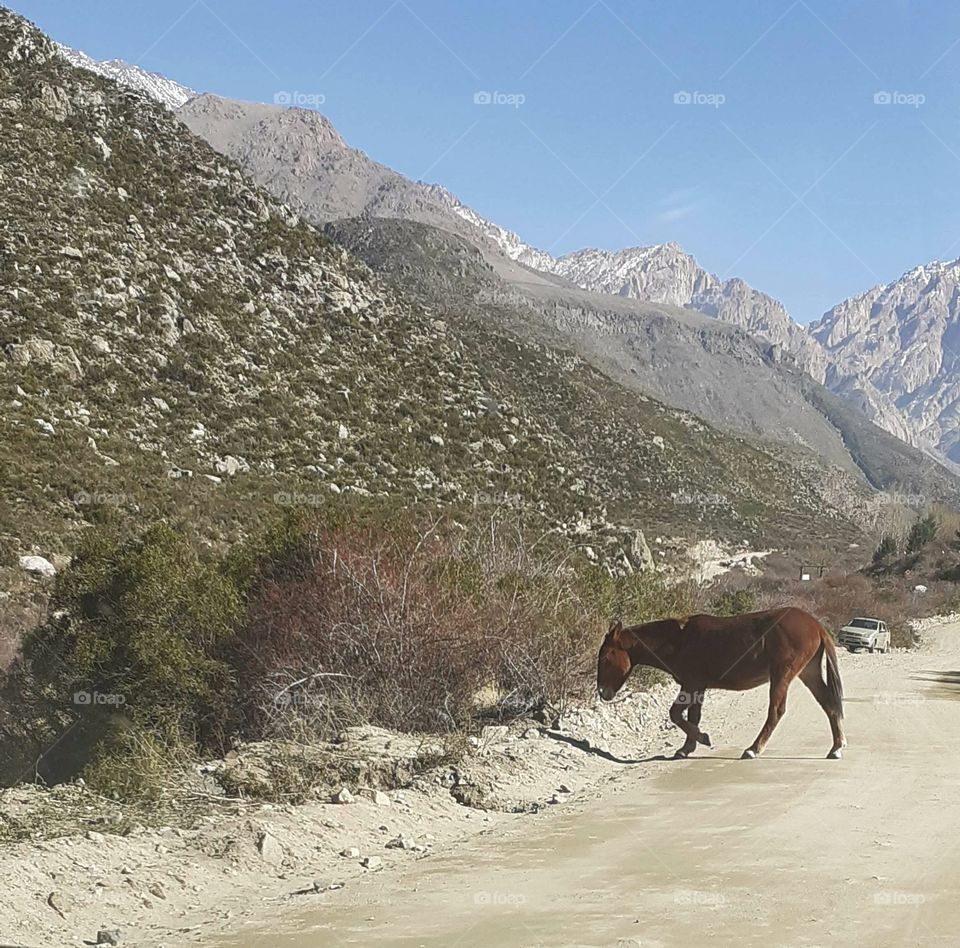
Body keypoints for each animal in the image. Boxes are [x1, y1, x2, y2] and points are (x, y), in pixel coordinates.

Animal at [596, 612, 844, 760]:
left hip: (782, 674)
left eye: (606, 658)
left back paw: (753, 749)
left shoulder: (691, 684)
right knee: (829, 704)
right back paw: (837, 747)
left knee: (776, 711)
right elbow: (693, 716)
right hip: (809, 672)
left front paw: (702, 738)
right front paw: (687, 748)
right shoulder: (698, 687)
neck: (677, 641)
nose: (602, 693)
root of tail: (816, 626)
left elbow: (675, 714)